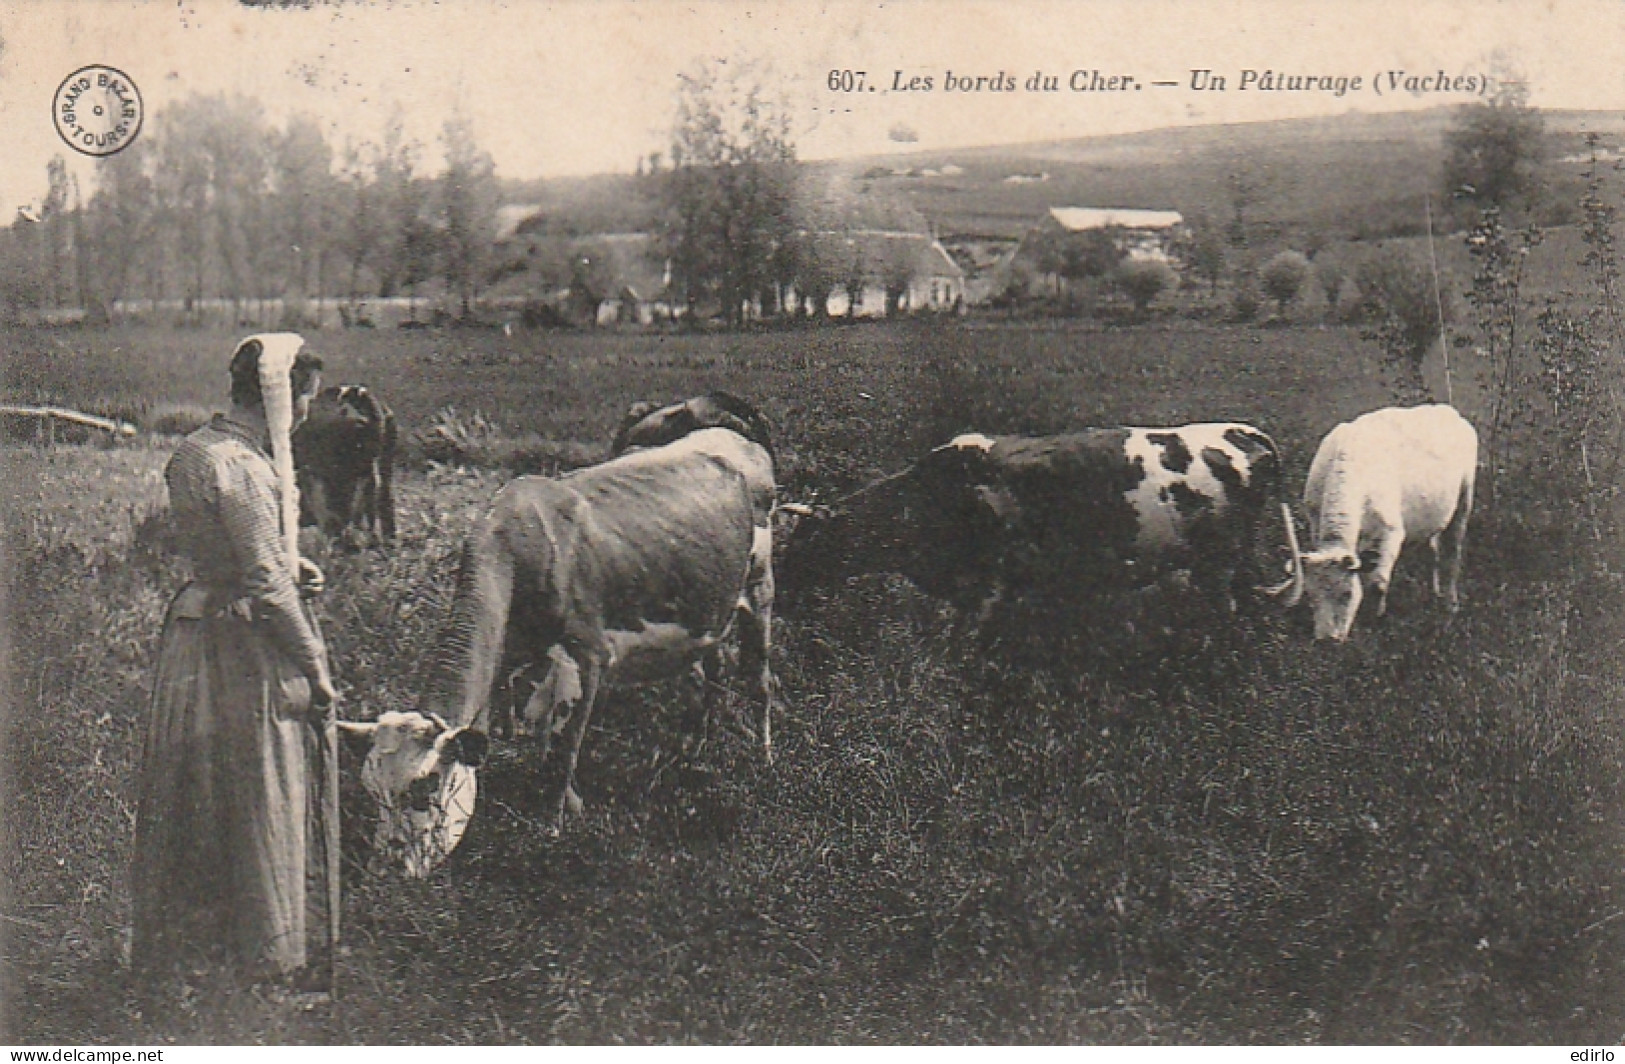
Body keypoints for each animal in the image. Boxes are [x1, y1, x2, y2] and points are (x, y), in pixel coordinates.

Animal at [336, 428, 773, 877]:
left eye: (425, 789)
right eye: (372, 792)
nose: (385, 871)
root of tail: (732, 434)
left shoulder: (587, 655)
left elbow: (563, 750)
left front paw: (551, 829)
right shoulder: (513, 659)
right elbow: (540, 734)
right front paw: (569, 805)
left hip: (760, 586)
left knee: (760, 680)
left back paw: (764, 756)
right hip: (707, 615)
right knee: (709, 675)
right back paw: (694, 751)